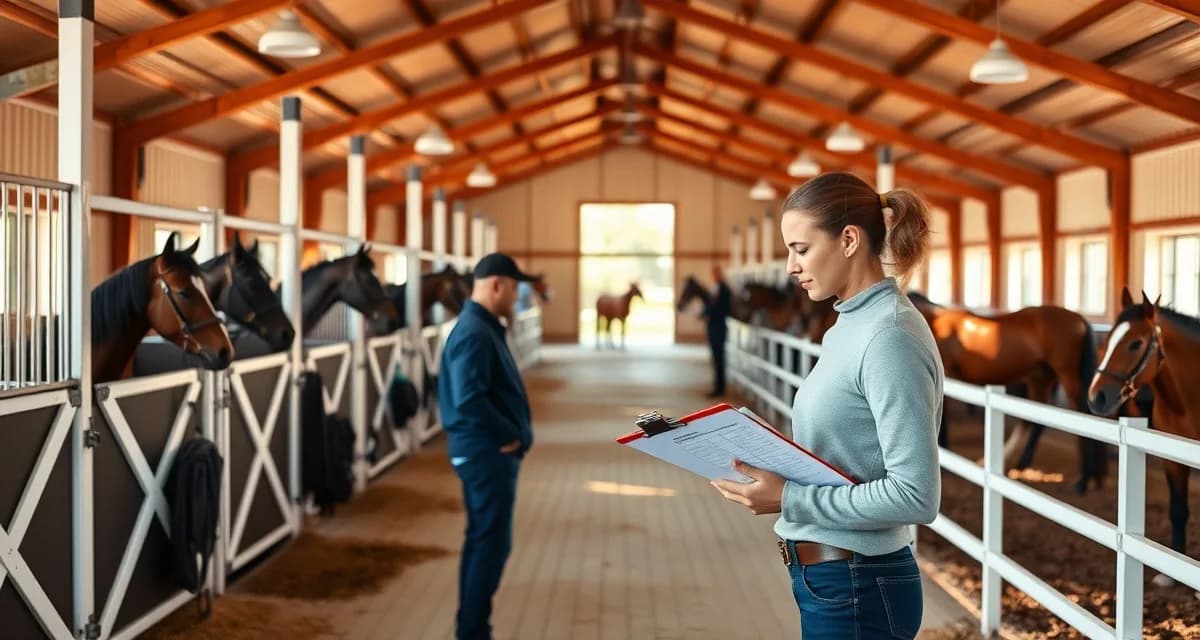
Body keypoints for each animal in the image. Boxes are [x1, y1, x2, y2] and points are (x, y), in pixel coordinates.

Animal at [906, 291, 1104, 494]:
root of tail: (1079, 318)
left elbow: (942, 420)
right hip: (1040, 379)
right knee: (1037, 424)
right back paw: (1023, 464)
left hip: (1067, 377)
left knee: (1084, 420)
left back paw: (1083, 481)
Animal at [1089, 289, 1200, 586]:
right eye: (1108, 338)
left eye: (1136, 343)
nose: (1096, 397)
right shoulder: (1172, 460)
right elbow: (1178, 511)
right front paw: (1171, 575)